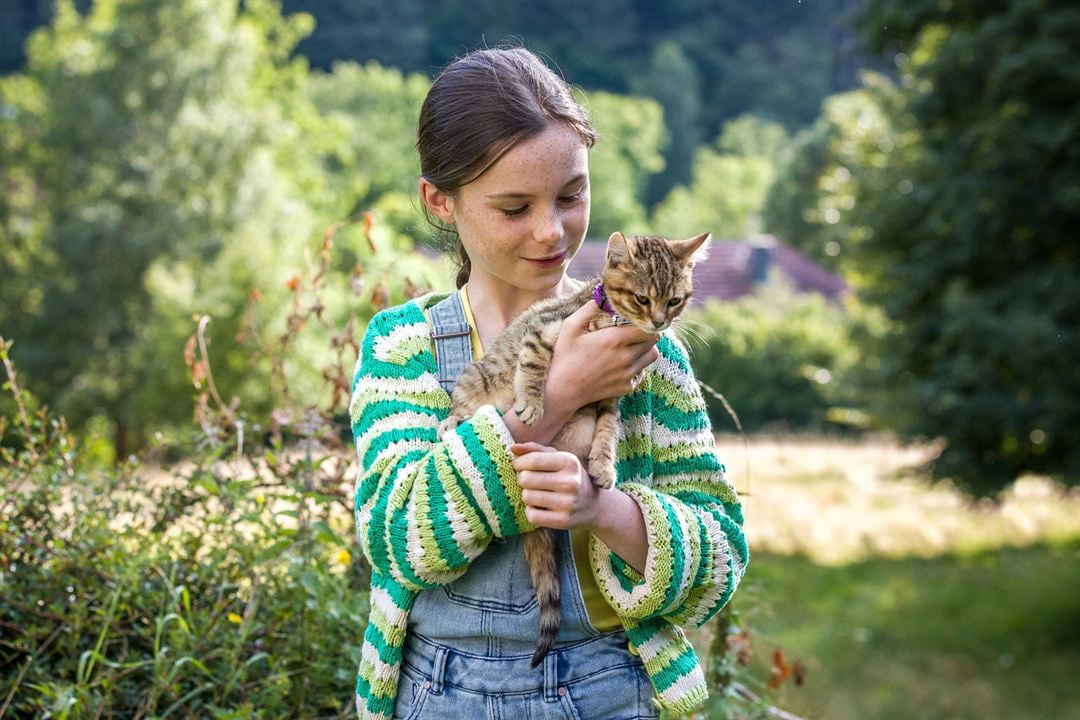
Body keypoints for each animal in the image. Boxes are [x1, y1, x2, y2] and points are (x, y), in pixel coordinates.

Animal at [438, 229, 708, 664]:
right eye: (642, 298)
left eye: (674, 300)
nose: (659, 322)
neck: (611, 321)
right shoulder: (543, 331)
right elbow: (533, 365)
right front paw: (532, 402)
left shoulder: (610, 398)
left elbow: (608, 431)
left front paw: (603, 464)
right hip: (474, 378)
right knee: (463, 403)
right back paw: (455, 421)